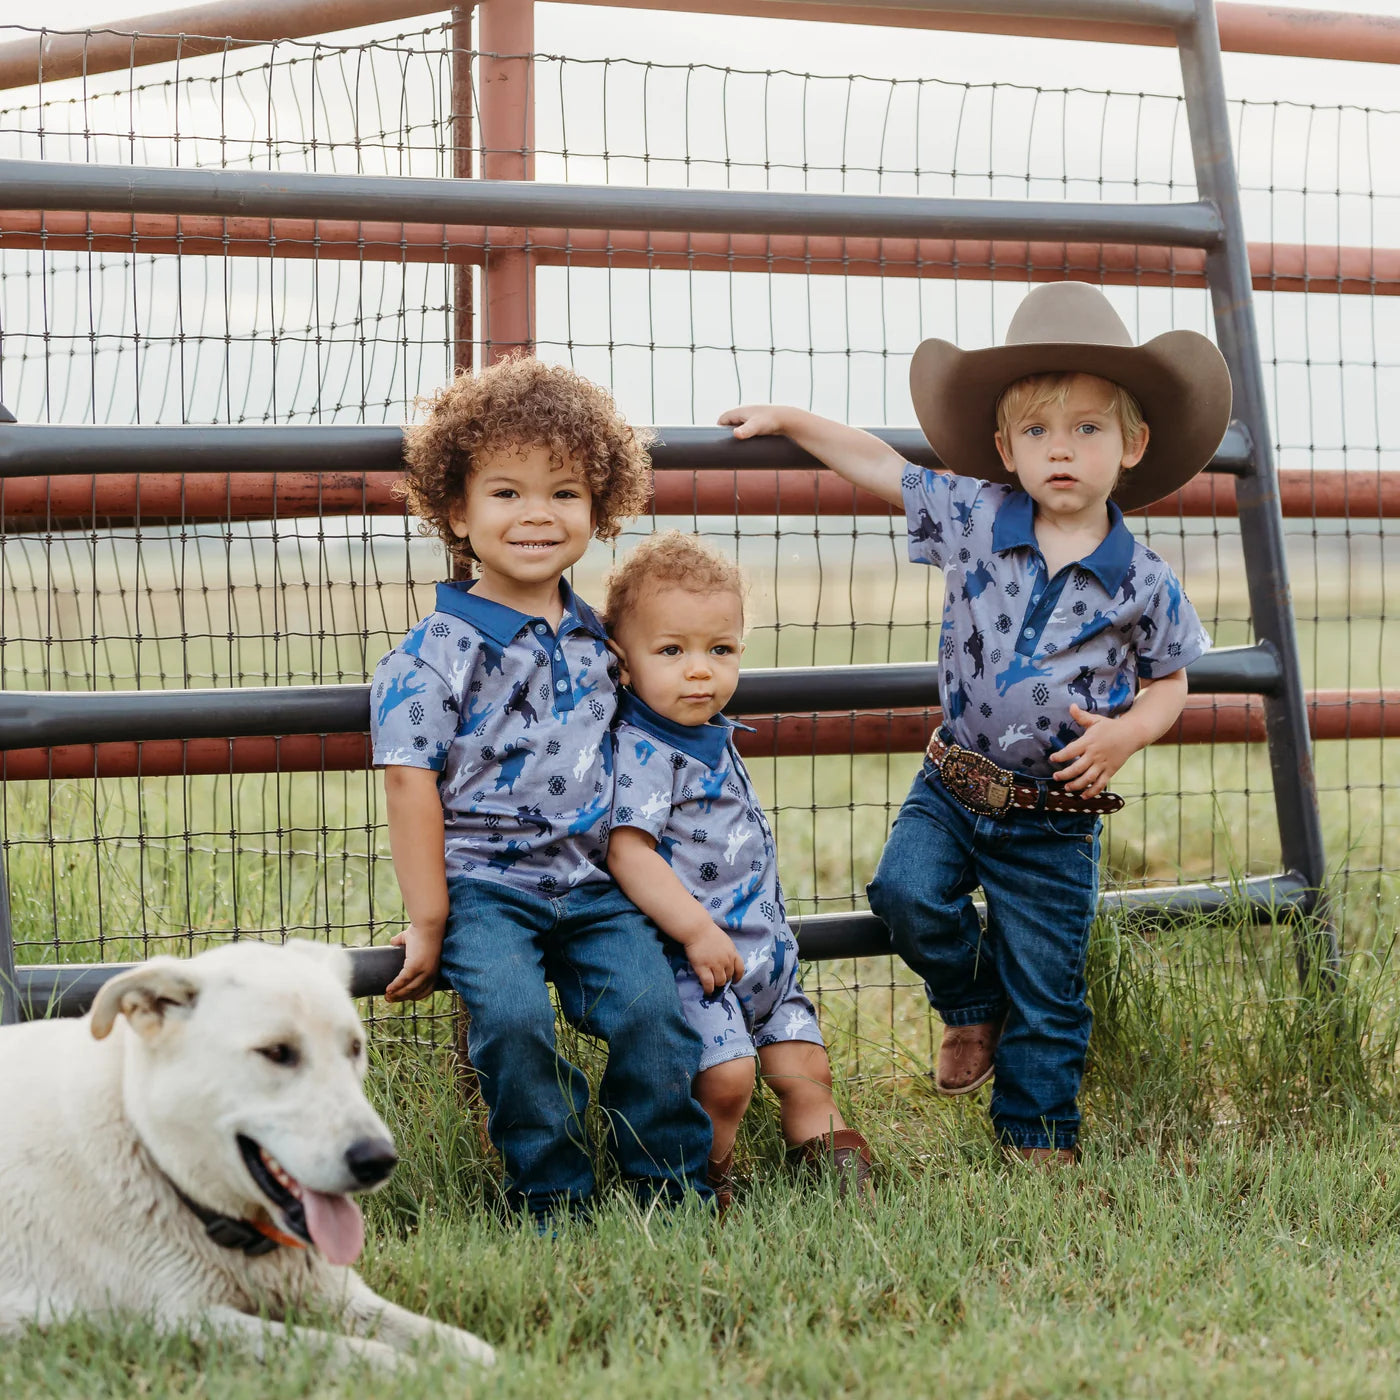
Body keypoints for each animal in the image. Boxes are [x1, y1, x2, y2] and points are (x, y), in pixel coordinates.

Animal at [0, 935, 498, 1372]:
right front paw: (421, 1374)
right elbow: (362, 1354)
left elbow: (467, 1345)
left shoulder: (340, 1293)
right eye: (276, 1052)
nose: (377, 1160)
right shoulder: (179, 1321)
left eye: (354, 1049)